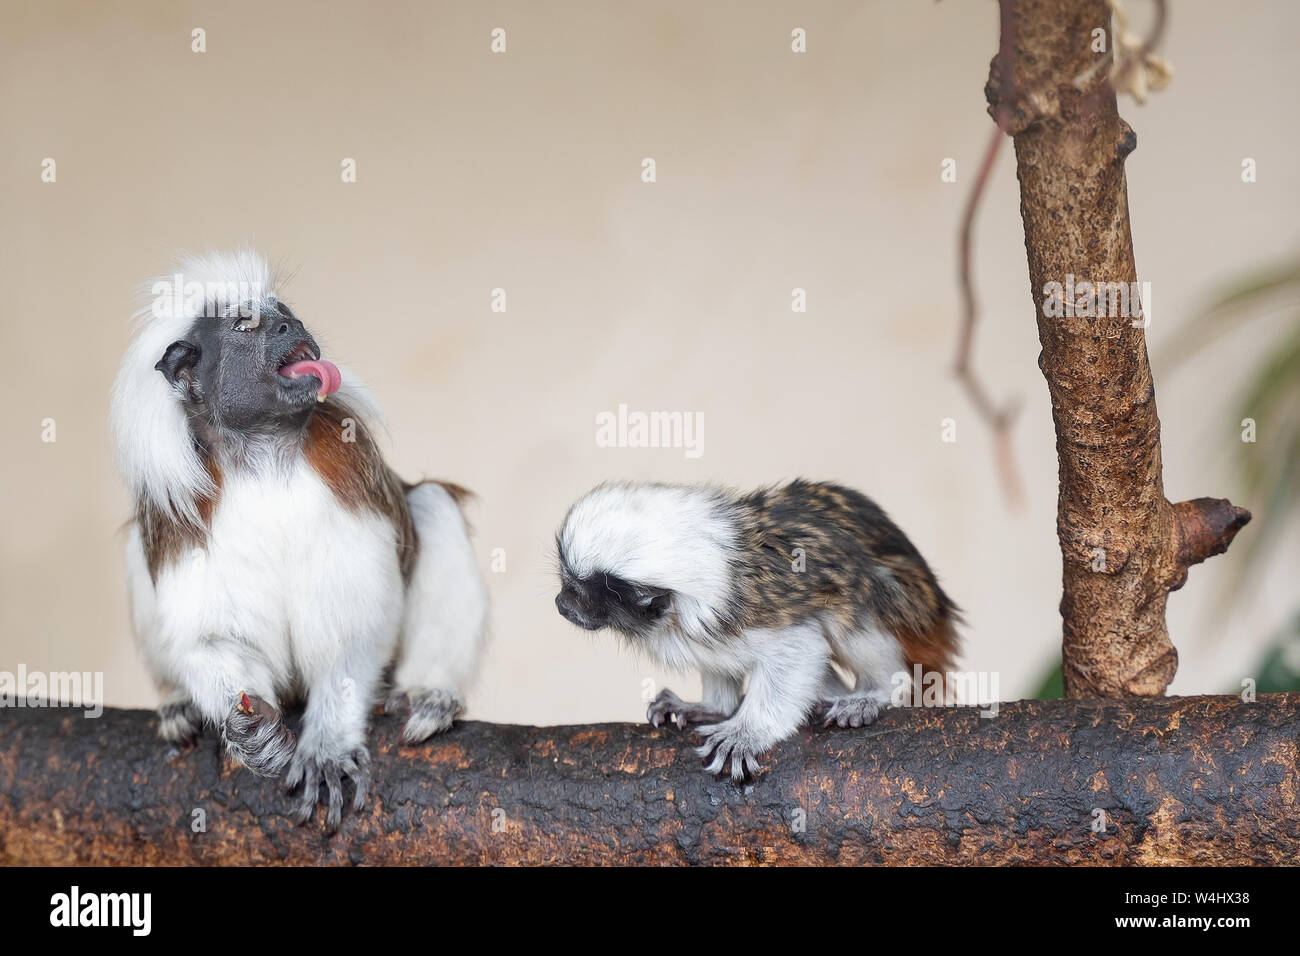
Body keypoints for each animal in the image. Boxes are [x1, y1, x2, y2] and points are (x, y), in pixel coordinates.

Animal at [110, 249, 488, 830]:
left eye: (284, 313)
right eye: (245, 325)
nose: (294, 327)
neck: (261, 450)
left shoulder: (348, 461)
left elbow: (353, 630)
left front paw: (329, 745)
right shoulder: (173, 509)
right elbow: (209, 639)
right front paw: (250, 734)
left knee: (432, 505)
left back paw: (430, 696)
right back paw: (178, 704)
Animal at [554, 479, 960, 781]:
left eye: (581, 595)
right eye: (566, 584)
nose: (561, 604)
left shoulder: (749, 611)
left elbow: (801, 647)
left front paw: (746, 733)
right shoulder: (707, 628)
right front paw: (709, 708)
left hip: (909, 612)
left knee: (856, 599)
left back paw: (874, 693)